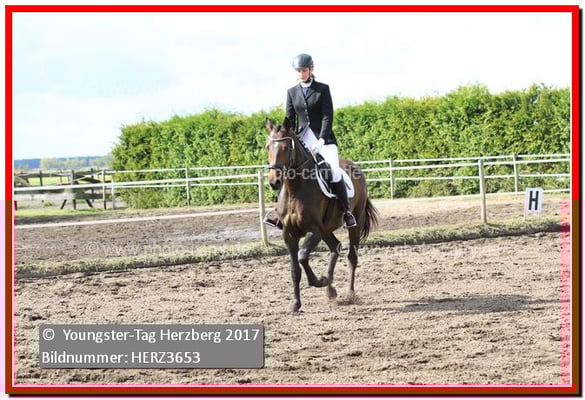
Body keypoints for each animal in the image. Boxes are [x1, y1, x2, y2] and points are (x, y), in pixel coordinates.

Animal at [265, 117, 379, 312]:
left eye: (286, 148)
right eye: (267, 147)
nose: (274, 182)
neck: (295, 189)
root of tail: (355, 166)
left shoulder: (315, 230)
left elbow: (303, 256)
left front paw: (318, 281)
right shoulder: (289, 235)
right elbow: (295, 270)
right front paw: (296, 304)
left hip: (353, 224)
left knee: (351, 257)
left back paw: (349, 293)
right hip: (328, 229)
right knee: (335, 246)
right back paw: (330, 290)